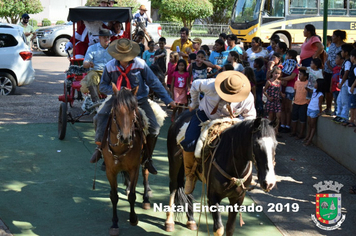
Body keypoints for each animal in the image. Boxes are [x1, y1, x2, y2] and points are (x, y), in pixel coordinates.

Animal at [100, 85, 145, 236]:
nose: (126, 137)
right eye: (116, 110)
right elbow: (114, 196)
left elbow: (132, 195)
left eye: (133, 109)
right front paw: (114, 223)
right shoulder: (110, 171)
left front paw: (133, 218)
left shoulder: (134, 169)